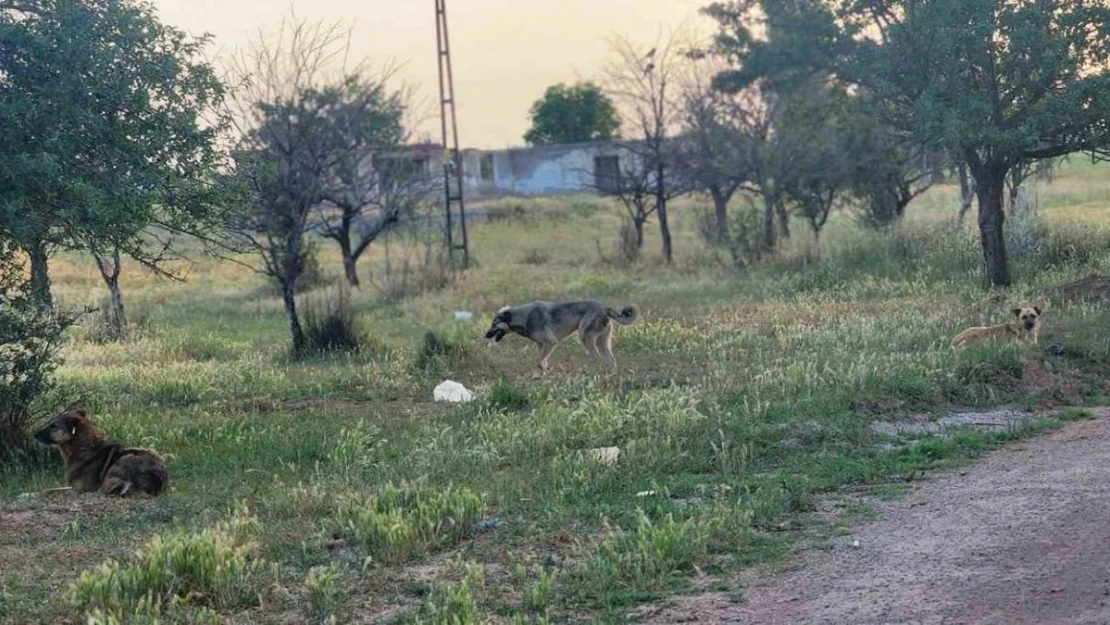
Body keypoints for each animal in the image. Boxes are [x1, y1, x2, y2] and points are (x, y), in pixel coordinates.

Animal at [34, 410, 167, 499]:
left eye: (54, 426)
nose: (34, 435)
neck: (83, 446)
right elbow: (50, 488)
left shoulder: (80, 488)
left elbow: (52, 490)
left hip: (125, 459)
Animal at [483, 299, 639, 375]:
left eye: (494, 324)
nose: (485, 335)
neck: (524, 317)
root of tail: (605, 307)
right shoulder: (542, 345)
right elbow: (543, 360)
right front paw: (545, 372)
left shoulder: (551, 343)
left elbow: (540, 362)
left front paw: (542, 372)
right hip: (603, 344)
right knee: (611, 360)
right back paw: (610, 373)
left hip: (584, 335)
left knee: (595, 355)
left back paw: (585, 370)